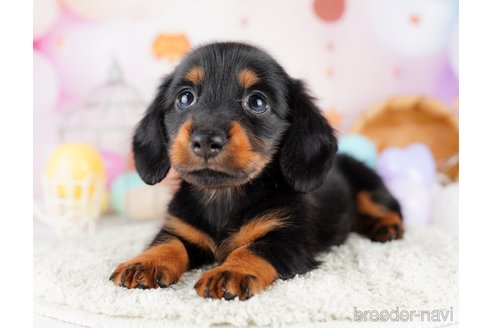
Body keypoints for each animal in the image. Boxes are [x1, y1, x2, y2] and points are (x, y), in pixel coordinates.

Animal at [108, 42, 404, 302]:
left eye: (257, 102)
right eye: (185, 97)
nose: (205, 140)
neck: (222, 197)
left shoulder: (287, 236)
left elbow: (254, 248)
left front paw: (231, 271)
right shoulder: (182, 228)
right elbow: (167, 243)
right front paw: (145, 263)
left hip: (368, 185)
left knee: (387, 206)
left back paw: (385, 226)